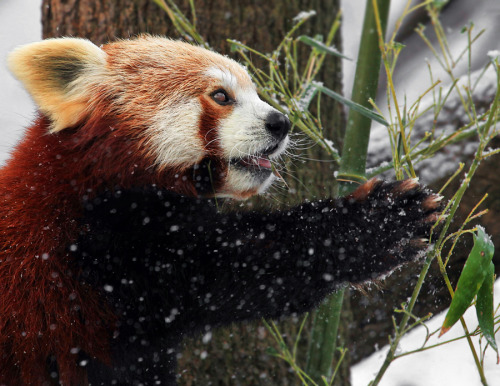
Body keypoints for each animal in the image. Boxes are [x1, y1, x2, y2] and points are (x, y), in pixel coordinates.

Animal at [0, 35, 442, 382]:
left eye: (256, 92)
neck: (89, 180)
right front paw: (382, 221)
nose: (280, 122)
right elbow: (251, 266)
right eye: (221, 96)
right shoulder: (106, 247)